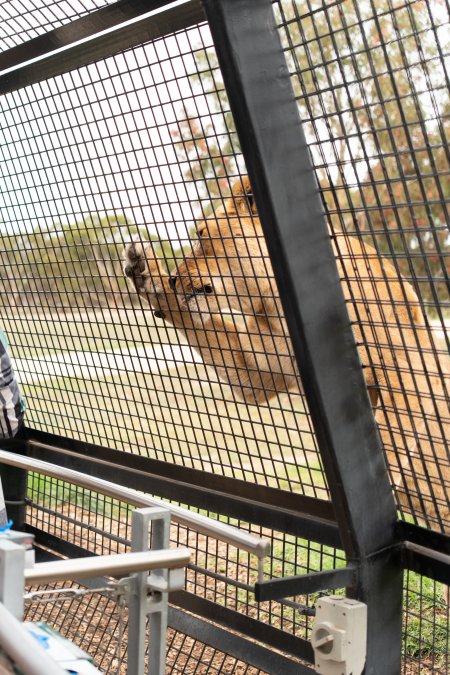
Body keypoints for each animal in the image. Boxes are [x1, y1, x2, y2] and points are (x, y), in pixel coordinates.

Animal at [123, 176, 449, 533]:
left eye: (202, 234)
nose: (173, 278)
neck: (277, 302)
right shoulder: (259, 367)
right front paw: (146, 274)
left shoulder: (408, 370)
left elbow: (388, 441)